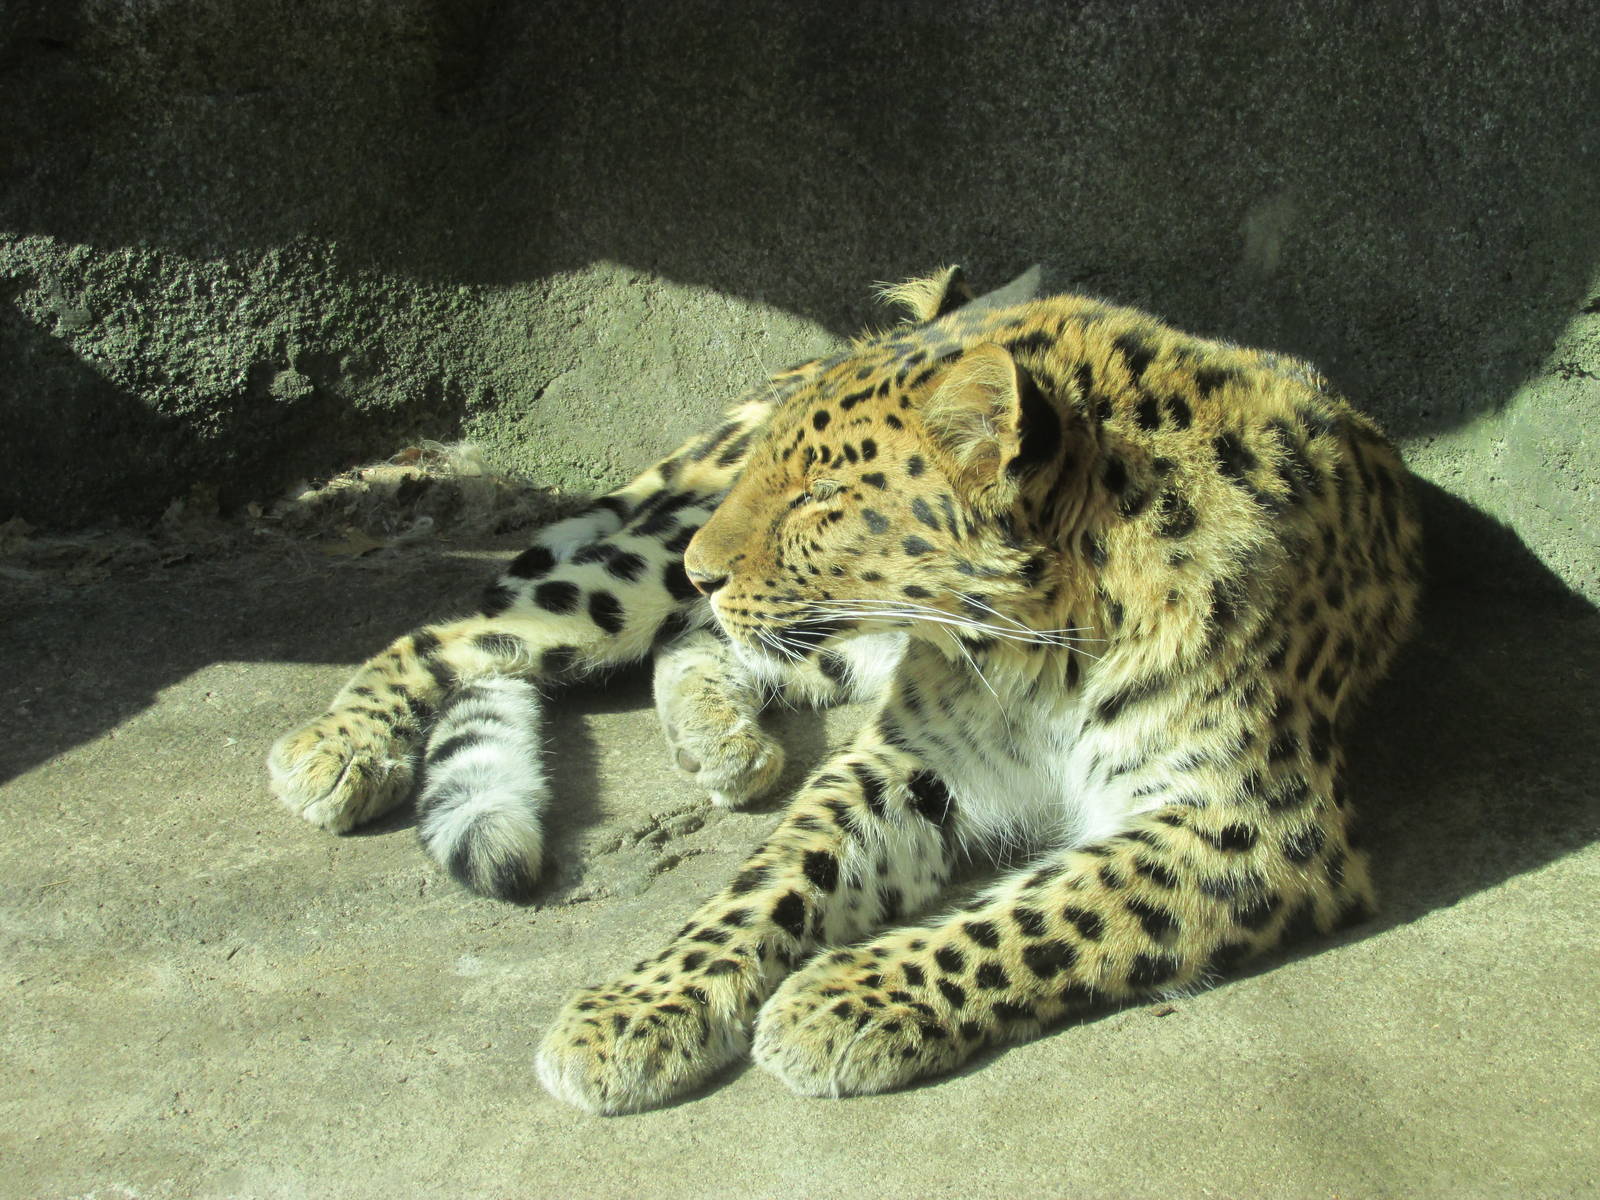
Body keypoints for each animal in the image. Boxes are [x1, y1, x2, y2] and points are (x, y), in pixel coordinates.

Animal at [268, 265, 1422, 1114]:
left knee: (687, 646)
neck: (1042, 640)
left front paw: (844, 997)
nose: (708, 563)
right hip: (635, 569)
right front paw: (642, 1005)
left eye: (820, 497)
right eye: (776, 475)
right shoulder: (911, 755)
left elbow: (1044, 912)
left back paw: (724, 745)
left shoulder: (1253, 820)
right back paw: (335, 749)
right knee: (460, 634)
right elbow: (767, 883)